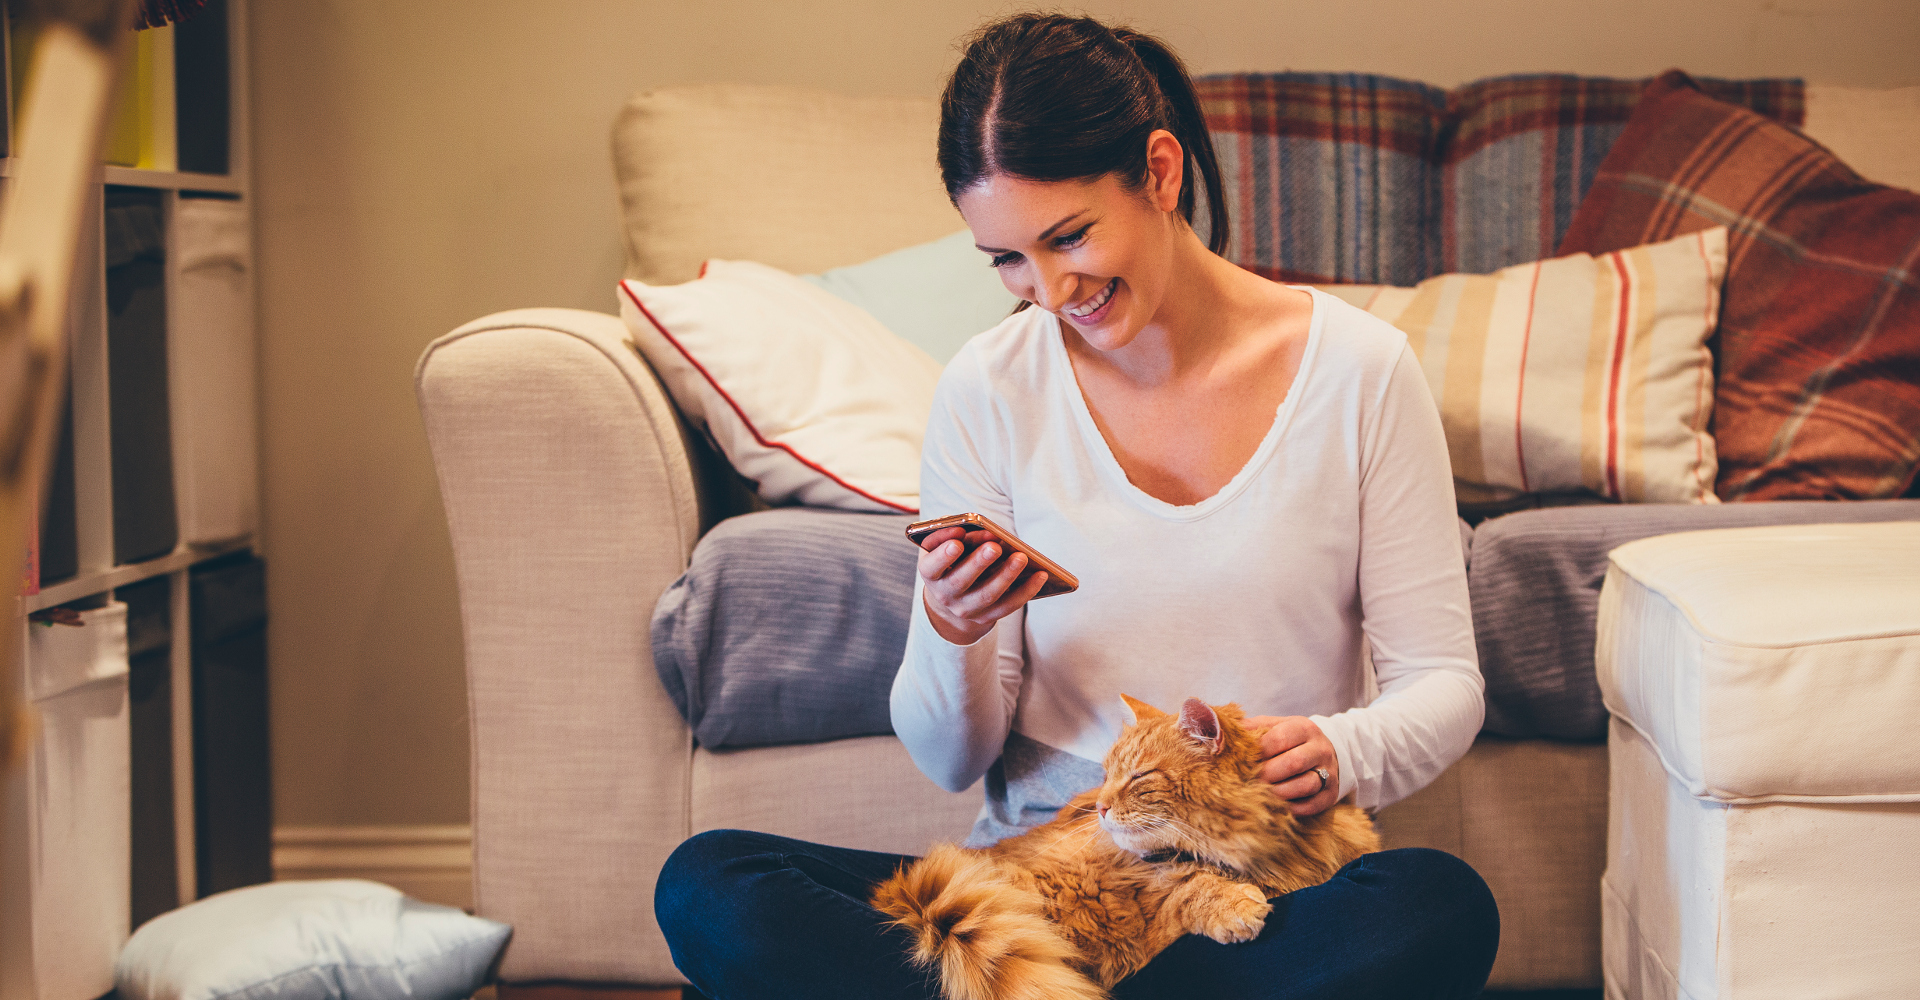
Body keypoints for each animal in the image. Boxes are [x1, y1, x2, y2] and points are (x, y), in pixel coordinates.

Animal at [871, 694, 1382, 998]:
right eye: (1105, 774)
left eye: (1137, 777)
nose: (1097, 807)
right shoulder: (1134, 908)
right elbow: (1189, 888)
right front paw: (1233, 907)